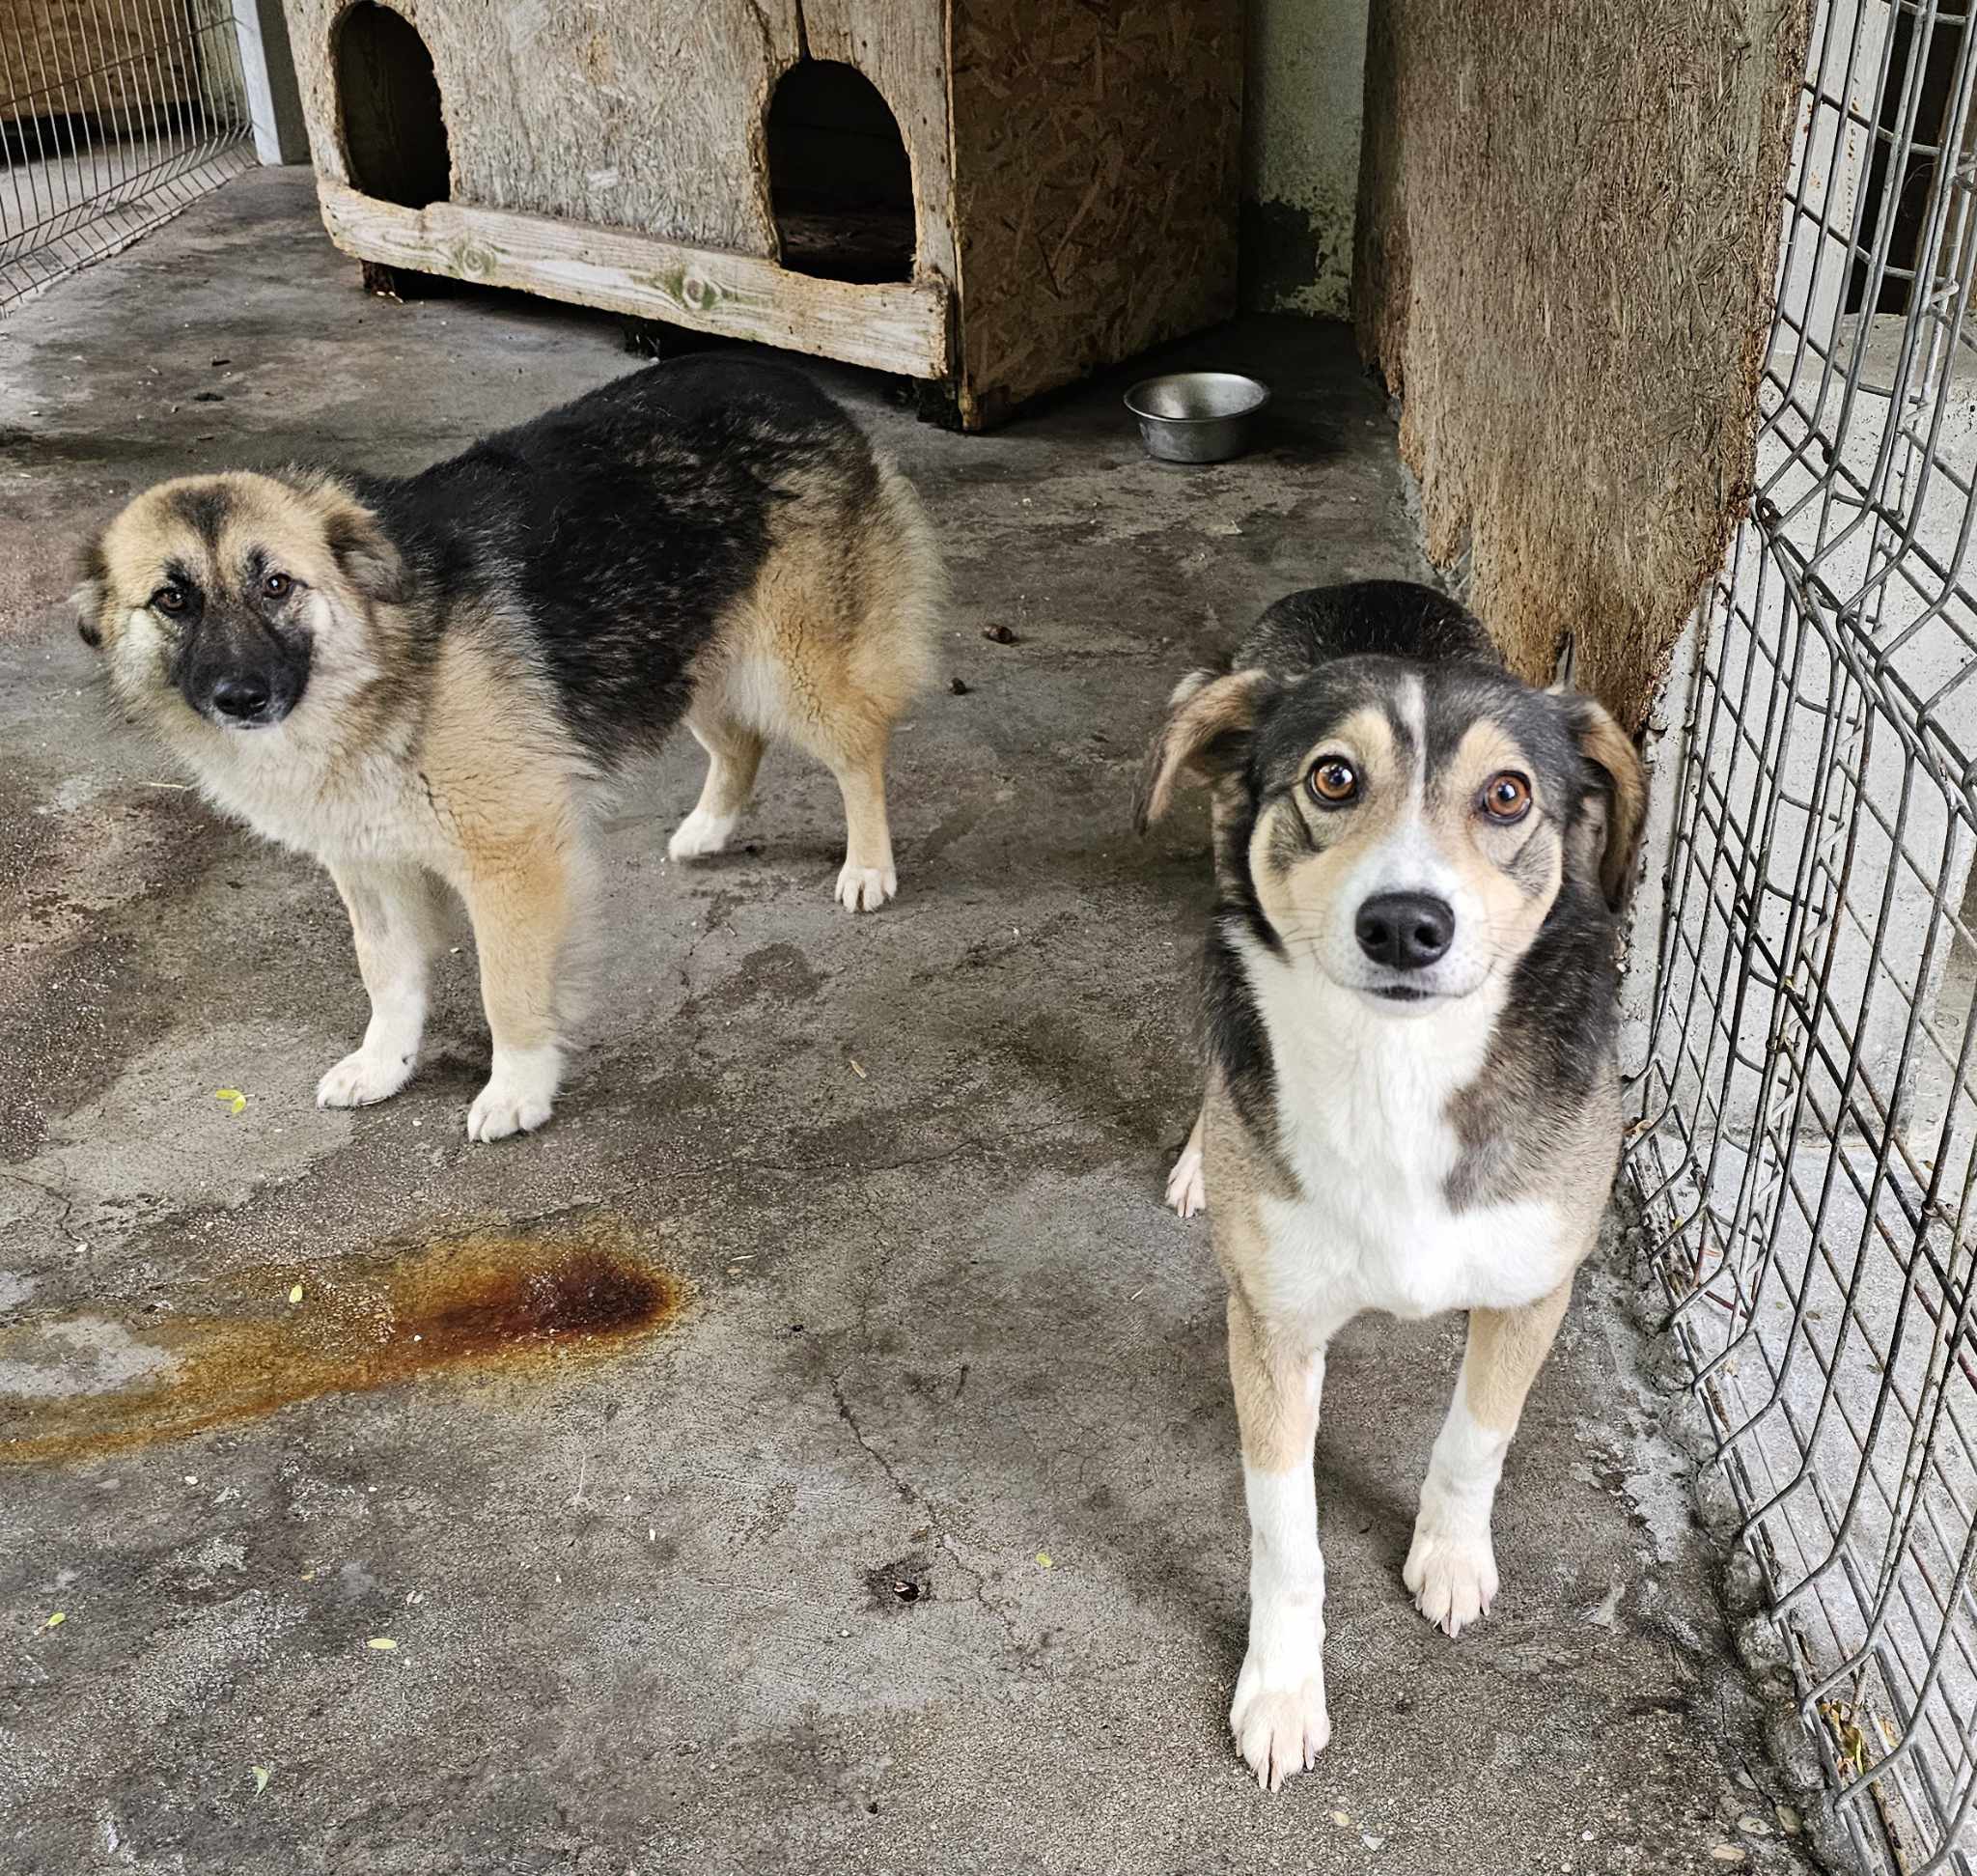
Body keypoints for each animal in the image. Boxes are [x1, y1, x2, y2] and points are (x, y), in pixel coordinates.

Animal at [74, 358, 941, 1141]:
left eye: (277, 585)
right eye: (173, 599)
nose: (242, 696)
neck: (386, 654)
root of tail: (786, 376)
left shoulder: (511, 863)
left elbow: (509, 990)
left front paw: (518, 1087)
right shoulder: (369, 866)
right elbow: (386, 975)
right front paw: (384, 1063)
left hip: (793, 667)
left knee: (859, 751)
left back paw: (867, 866)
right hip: (681, 654)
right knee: (741, 742)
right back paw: (710, 827)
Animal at [1136, 580, 1645, 1789]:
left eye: (1506, 794)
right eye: (1331, 777)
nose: (1405, 924)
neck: (1395, 1060)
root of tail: (1358, 586)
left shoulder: (1532, 1289)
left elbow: (1474, 1439)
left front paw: (1448, 1558)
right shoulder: (1270, 1328)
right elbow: (1285, 1539)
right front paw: (1280, 1692)